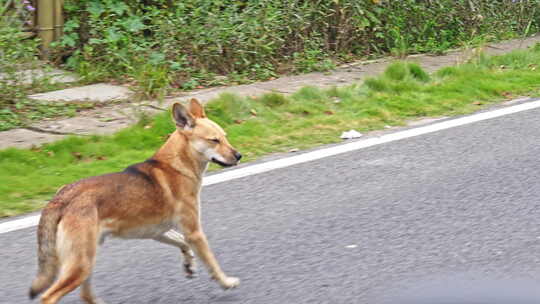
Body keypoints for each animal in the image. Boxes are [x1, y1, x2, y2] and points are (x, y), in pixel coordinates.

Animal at [28, 98, 242, 302]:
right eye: (214, 140)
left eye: (225, 136)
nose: (239, 155)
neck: (176, 166)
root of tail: (60, 199)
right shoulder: (194, 232)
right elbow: (212, 263)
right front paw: (226, 282)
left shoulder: (159, 232)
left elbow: (182, 243)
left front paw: (189, 265)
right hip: (81, 264)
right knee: (49, 296)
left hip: (86, 260)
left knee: (85, 295)